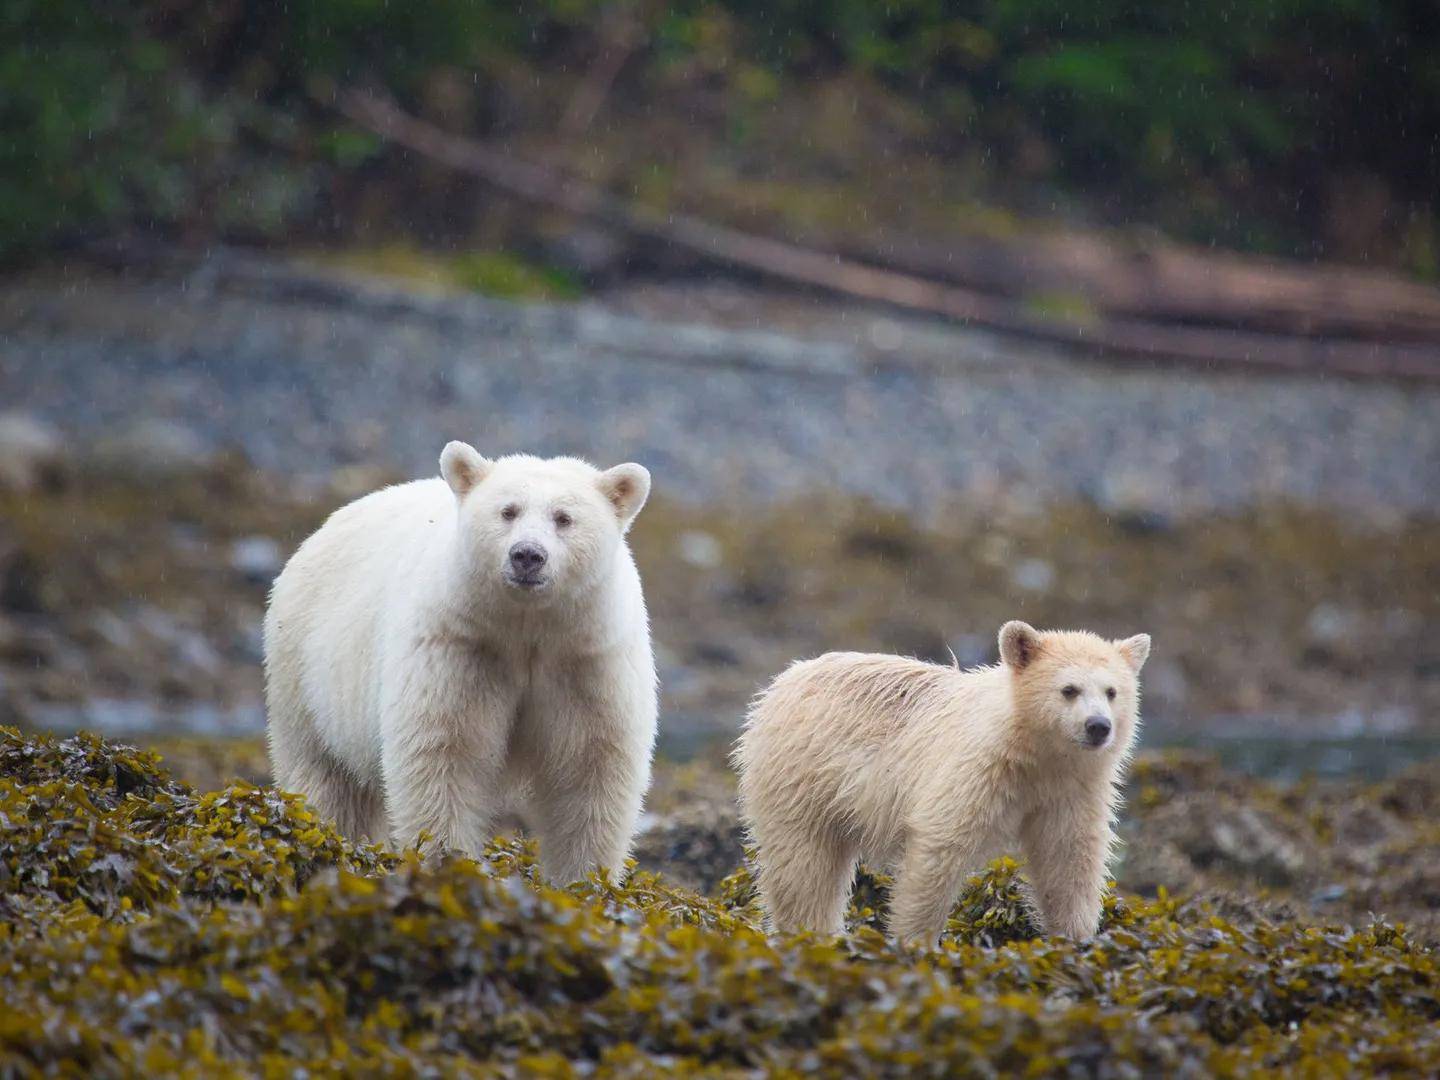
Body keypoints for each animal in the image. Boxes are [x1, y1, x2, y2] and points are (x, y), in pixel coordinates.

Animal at [264, 443, 659, 881]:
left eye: (564, 518)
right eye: (508, 511)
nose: (527, 555)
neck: (528, 629)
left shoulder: (587, 659)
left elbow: (591, 766)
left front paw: (585, 879)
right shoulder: (460, 648)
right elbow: (445, 751)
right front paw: (449, 862)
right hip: (304, 671)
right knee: (327, 778)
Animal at [731, 624, 1146, 944]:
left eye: (1112, 692)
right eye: (1069, 689)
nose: (1098, 726)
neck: (1032, 754)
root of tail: (782, 681)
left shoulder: (1070, 789)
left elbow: (1069, 857)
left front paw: (1077, 938)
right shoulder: (973, 772)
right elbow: (939, 847)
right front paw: (915, 940)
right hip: (801, 775)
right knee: (803, 865)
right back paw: (810, 932)